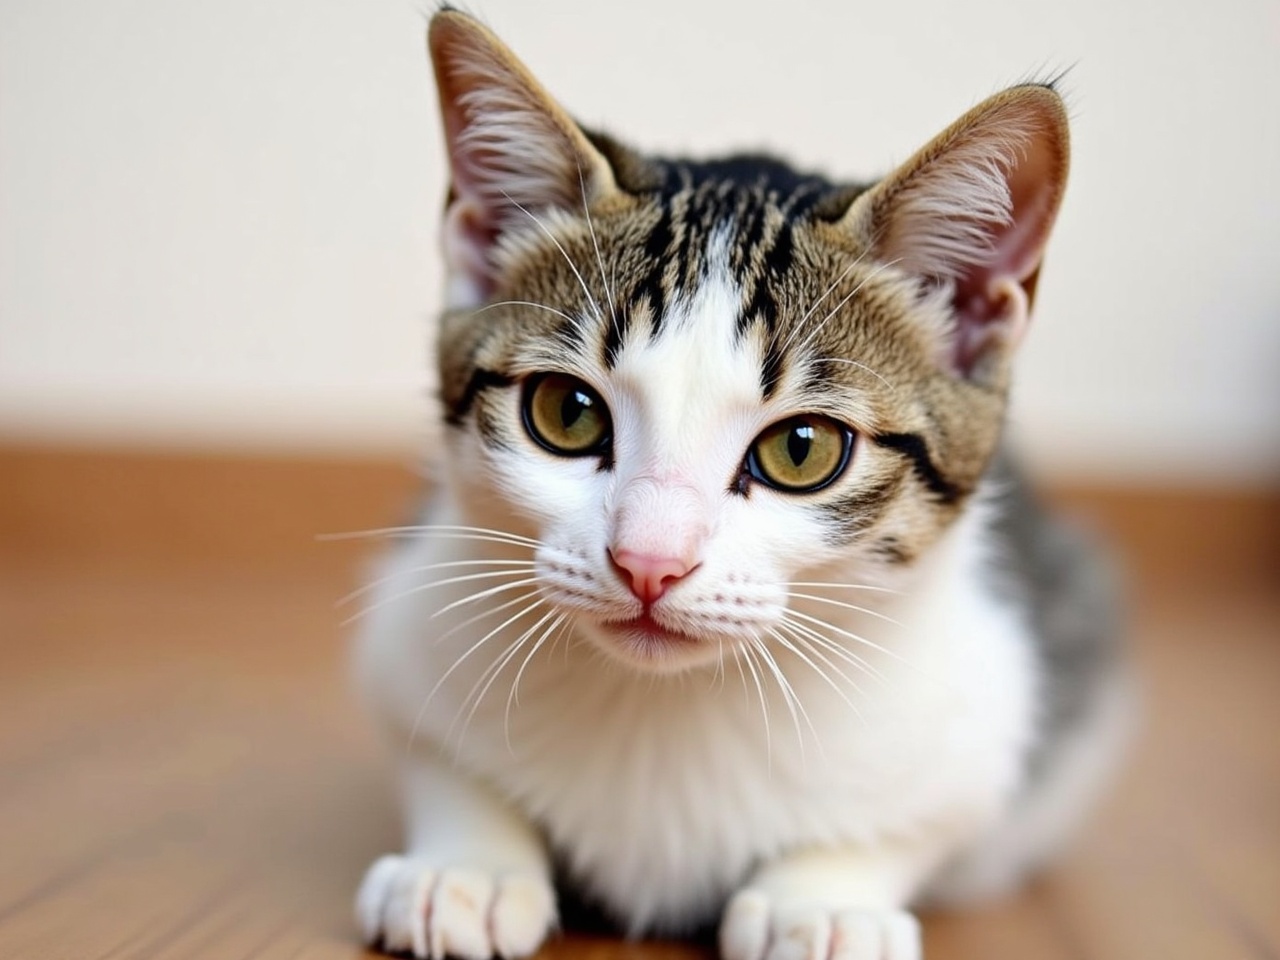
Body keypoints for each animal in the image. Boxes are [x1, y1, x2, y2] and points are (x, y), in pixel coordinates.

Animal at [350, 7, 1131, 960]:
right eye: (566, 412)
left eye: (802, 449)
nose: (648, 561)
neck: (667, 708)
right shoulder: (408, 618)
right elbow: (439, 754)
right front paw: (468, 863)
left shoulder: (993, 699)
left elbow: (920, 816)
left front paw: (822, 901)